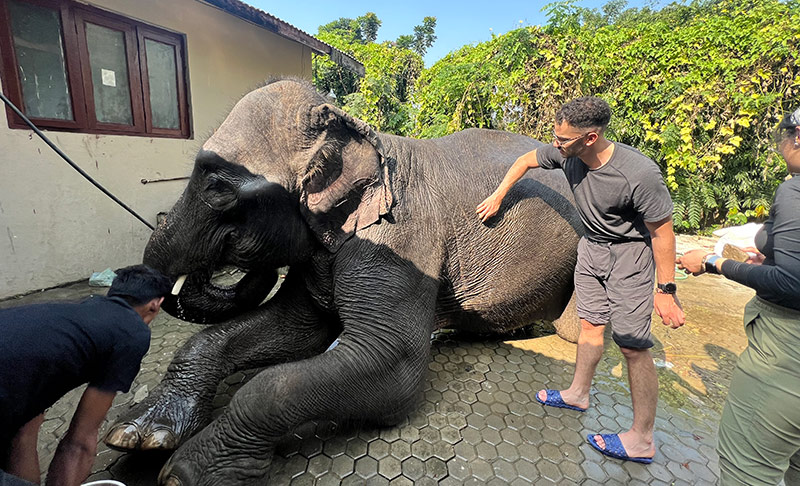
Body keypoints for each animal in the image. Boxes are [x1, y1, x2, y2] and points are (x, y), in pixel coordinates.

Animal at [104, 78, 580, 484]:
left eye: (218, 188)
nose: (248, 264)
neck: (349, 126)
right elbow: (298, 327)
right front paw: (138, 435)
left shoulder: (401, 238)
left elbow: (391, 364)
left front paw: (185, 473)